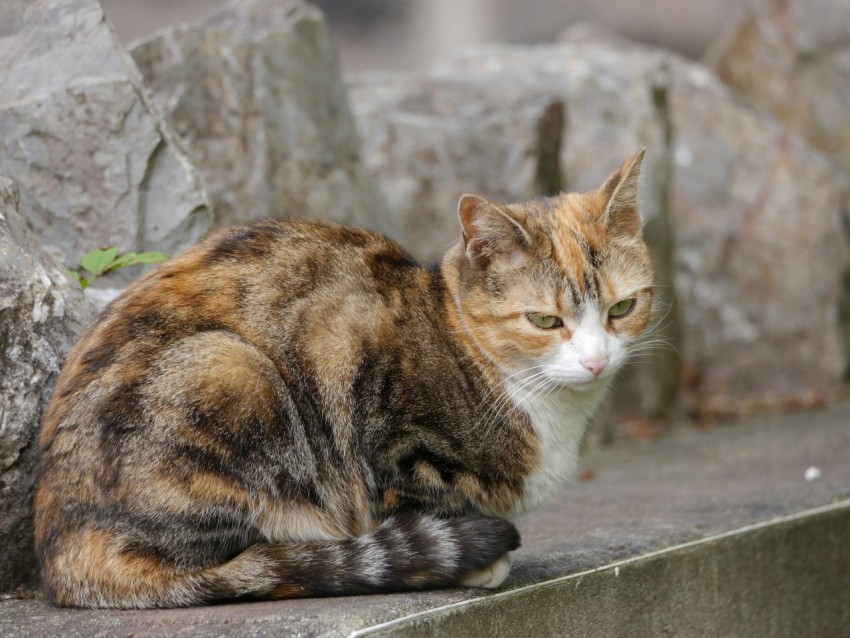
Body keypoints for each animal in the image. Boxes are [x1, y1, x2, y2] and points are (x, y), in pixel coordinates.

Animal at [33, 149, 652, 608]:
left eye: (621, 308)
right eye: (545, 321)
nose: (596, 361)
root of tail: (61, 553)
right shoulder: (381, 420)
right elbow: (416, 497)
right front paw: (475, 560)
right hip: (231, 371)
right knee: (245, 563)